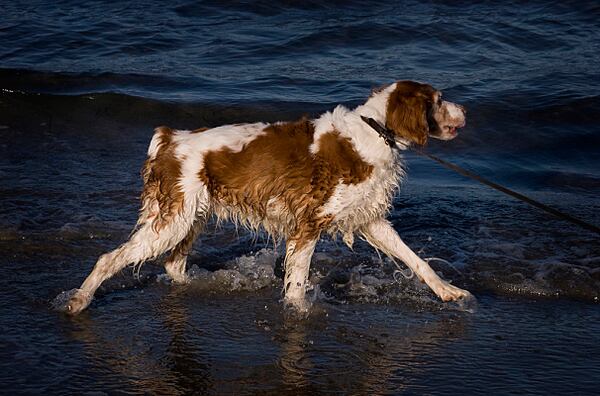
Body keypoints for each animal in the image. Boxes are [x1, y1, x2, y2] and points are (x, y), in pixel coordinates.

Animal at [63, 81, 472, 316]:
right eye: (439, 100)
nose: (466, 110)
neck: (376, 131)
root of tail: (169, 139)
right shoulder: (308, 224)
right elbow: (297, 283)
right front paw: (298, 313)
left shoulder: (369, 219)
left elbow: (416, 260)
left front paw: (448, 291)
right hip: (172, 221)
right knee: (110, 258)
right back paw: (79, 300)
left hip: (191, 218)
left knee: (173, 264)